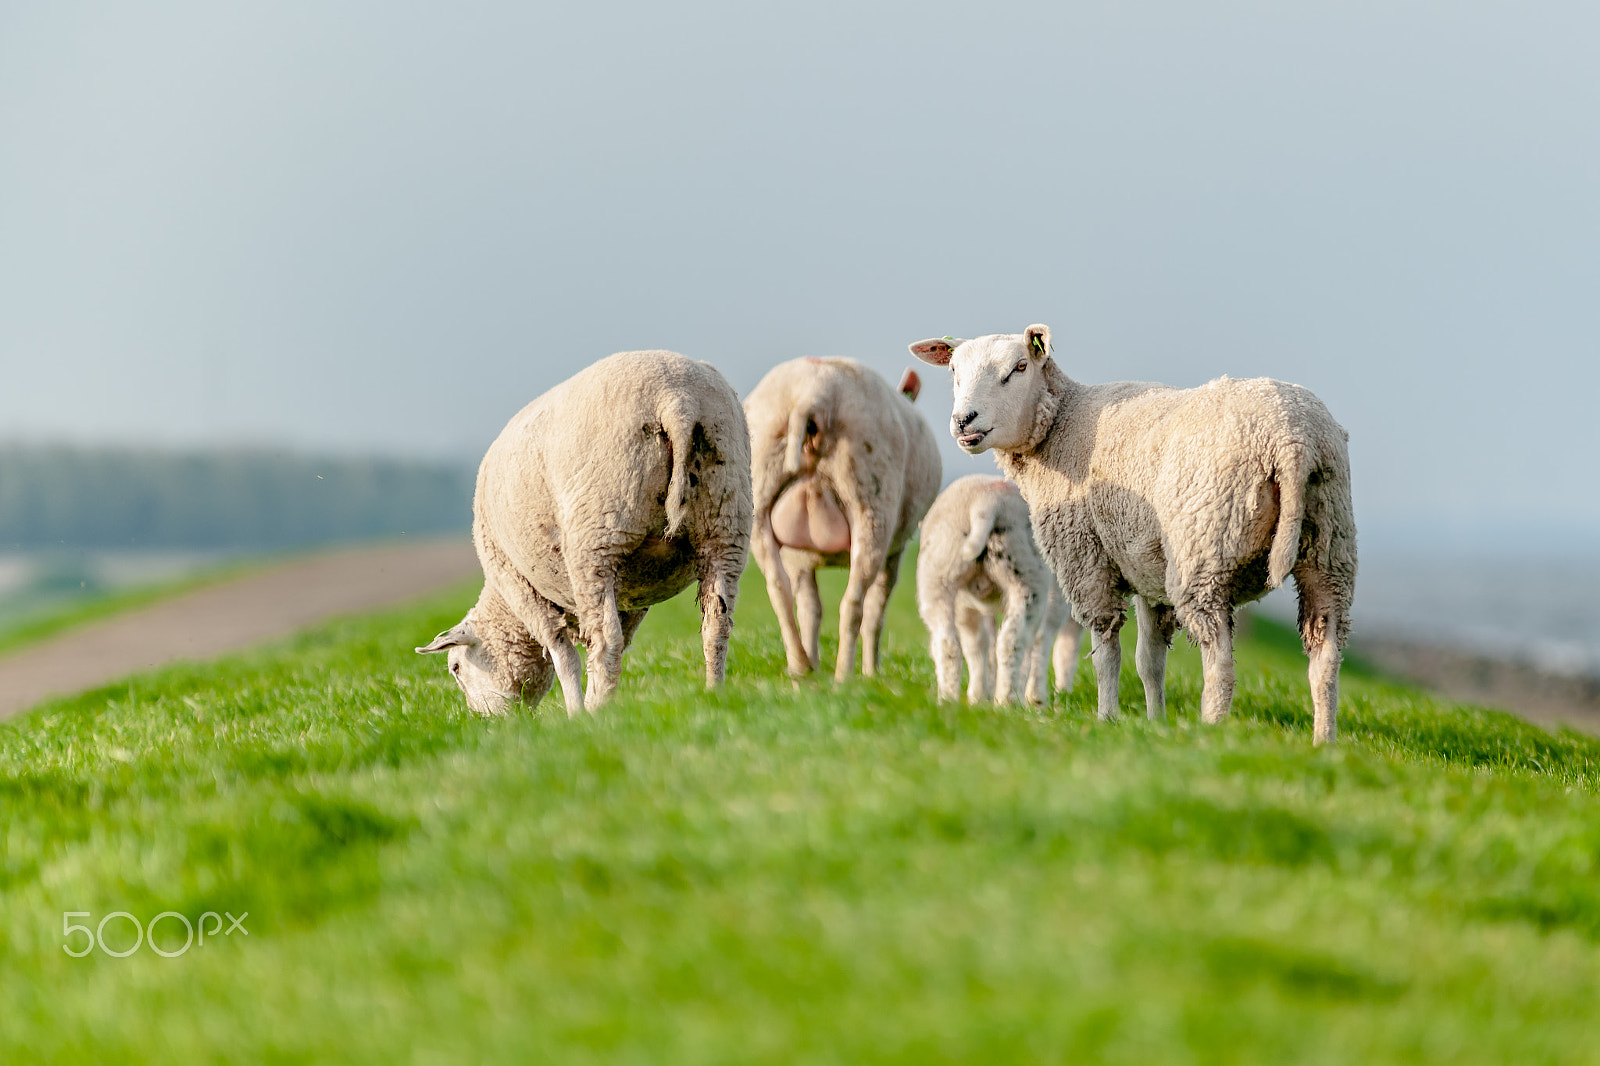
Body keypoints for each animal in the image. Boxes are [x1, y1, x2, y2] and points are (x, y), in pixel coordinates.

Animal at [419, 350, 755, 713]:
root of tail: (676, 400)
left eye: (455, 667)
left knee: (605, 639)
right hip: (726, 521)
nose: (485, 721)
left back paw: (595, 713)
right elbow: (620, 641)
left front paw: (576, 713)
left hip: (596, 536)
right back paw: (713, 694)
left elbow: (564, 656)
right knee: (716, 624)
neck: (505, 605)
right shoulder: (632, 595)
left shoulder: (520, 585)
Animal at [742, 352, 940, 675]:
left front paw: (812, 662)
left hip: (759, 496)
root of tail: (812, 391)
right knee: (854, 603)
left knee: (778, 588)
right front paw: (872, 672)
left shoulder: (798, 557)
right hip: (872, 503)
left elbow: (810, 609)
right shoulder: (896, 551)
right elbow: (875, 612)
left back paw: (802, 668)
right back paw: (844, 676)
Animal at [915, 470, 1088, 701]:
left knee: (948, 642)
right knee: (1014, 640)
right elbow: (1053, 645)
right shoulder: (1058, 601)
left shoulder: (965, 604)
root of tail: (985, 502)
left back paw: (949, 699)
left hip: (938, 573)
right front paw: (1039, 697)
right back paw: (1008, 700)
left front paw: (978, 697)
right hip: (1028, 578)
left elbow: (978, 644)